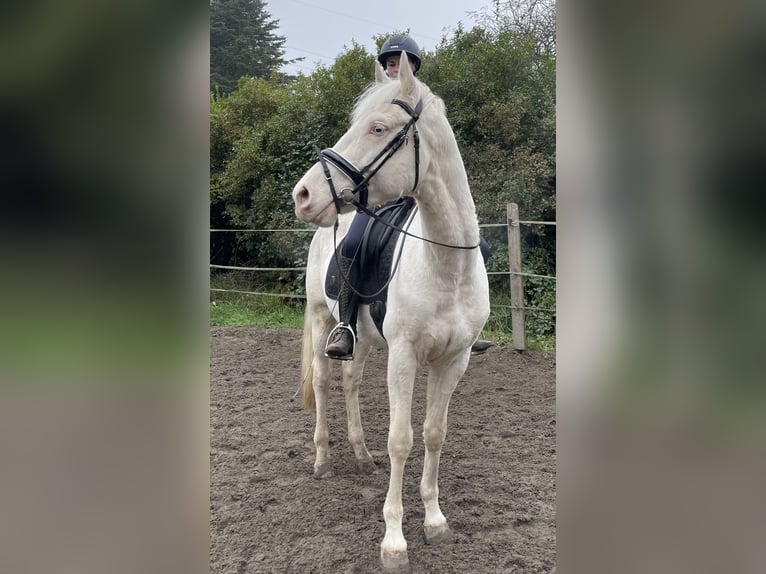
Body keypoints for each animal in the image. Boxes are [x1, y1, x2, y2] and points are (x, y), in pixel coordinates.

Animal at [292, 53, 488, 572]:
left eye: (378, 128)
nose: (303, 195)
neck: (445, 265)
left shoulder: (454, 361)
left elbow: (434, 434)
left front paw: (435, 521)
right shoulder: (403, 356)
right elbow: (401, 439)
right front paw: (395, 540)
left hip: (357, 336)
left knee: (350, 381)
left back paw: (361, 455)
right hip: (320, 319)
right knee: (325, 382)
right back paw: (322, 460)